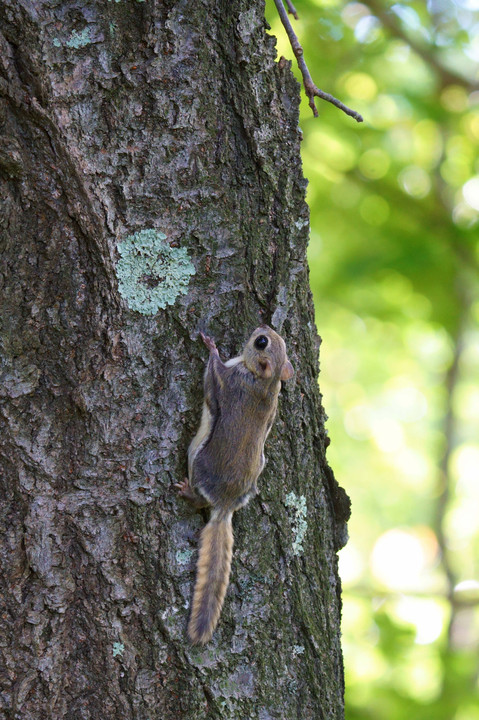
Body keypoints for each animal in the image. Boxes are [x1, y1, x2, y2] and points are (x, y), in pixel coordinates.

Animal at [177, 324, 292, 644]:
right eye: (270, 339)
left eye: (261, 342)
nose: (263, 326)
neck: (264, 380)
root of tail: (225, 506)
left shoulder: (228, 381)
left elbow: (212, 376)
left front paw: (211, 345)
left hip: (198, 460)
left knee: (199, 498)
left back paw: (187, 492)